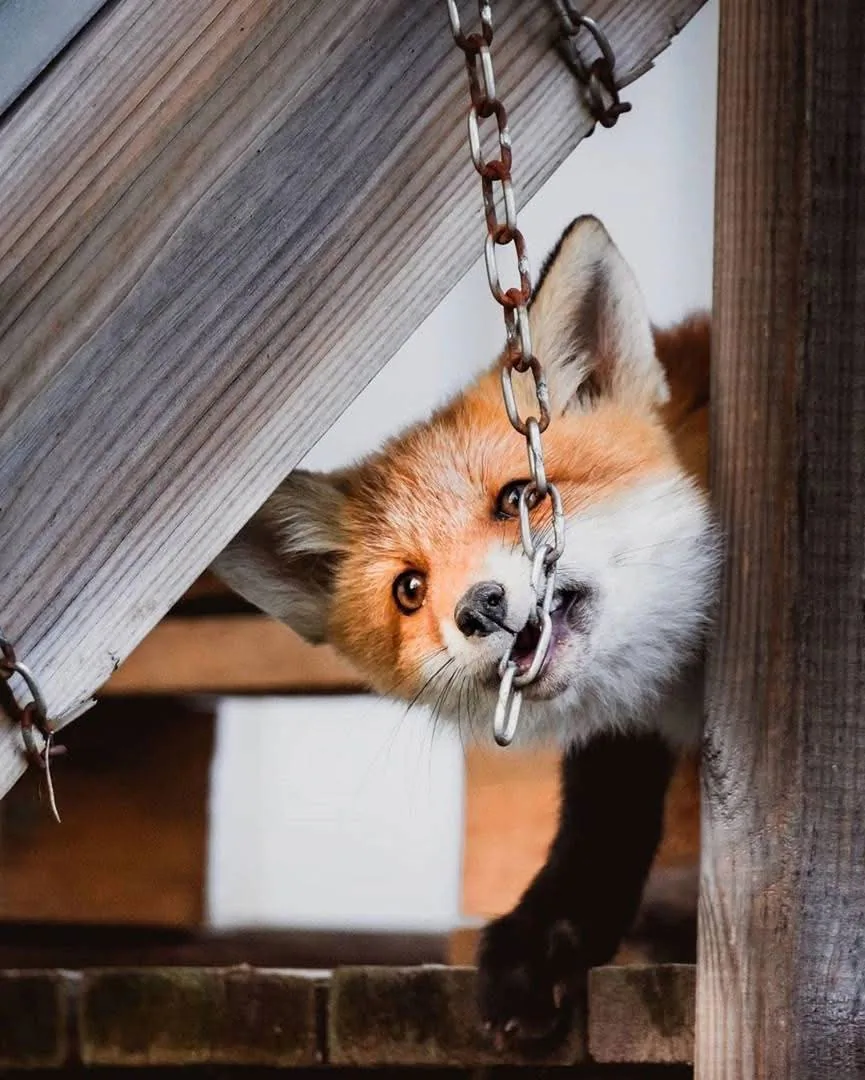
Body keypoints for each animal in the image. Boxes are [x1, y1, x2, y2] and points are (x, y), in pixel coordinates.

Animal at [212, 215, 719, 1045]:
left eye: (519, 496)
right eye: (409, 589)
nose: (478, 607)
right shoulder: (624, 739)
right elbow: (599, 820)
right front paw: (546, 940)